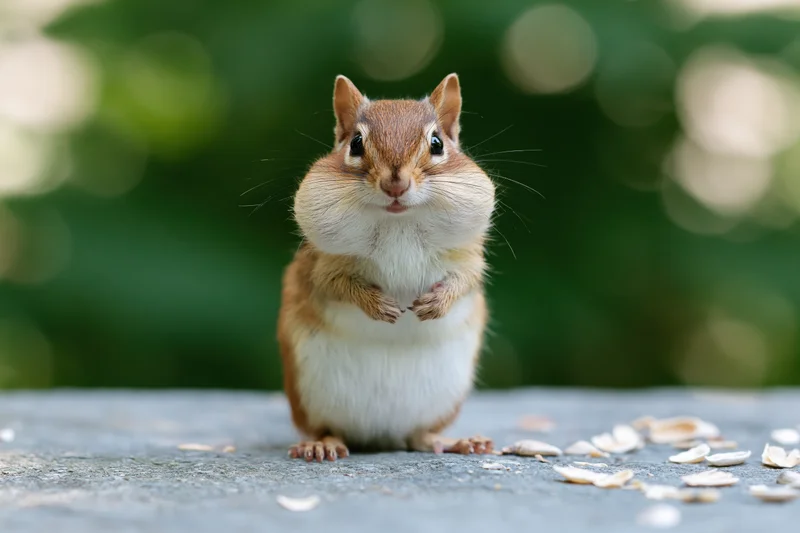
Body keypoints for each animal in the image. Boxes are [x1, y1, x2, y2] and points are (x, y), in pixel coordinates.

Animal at [277, 73, 497, 462]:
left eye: (437, 144)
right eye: (355, 144)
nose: (396, 183)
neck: (399, 224)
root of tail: (380, 436)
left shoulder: (468, 256)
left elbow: (465, 279)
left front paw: (436, 303)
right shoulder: (322, 265)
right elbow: (336, 284)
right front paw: (377, 305)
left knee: (421, 437)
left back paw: (460, 441)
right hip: (309, 400)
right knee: (330, 430)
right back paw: (321, 445)